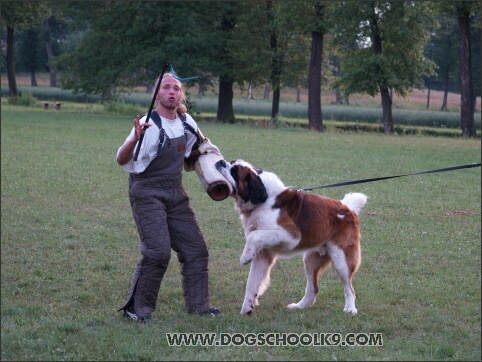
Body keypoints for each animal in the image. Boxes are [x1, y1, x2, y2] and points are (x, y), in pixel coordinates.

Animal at [216, 160, 370, 316]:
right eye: (231, 162)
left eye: (234, 171)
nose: (221, 162)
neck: (265, 199)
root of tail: (348, 209)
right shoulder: (262, 255)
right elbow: (252, 282)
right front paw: (247, 307)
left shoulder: (292, 235)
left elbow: (254, 235)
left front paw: (245, 257)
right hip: (311, 260)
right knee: (313, 289)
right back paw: (299, 306)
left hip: (341, 259)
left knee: (349, 288)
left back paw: (350, 308)